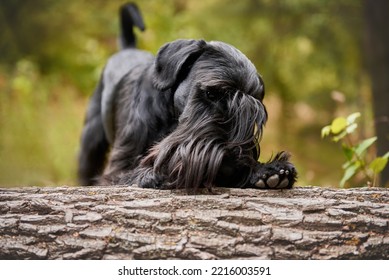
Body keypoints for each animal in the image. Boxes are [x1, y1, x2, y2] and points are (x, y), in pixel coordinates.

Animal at [79, 2, 298, 190]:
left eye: (252, 113)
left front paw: (268, 171)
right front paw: (150, 174)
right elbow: (126, 174)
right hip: (91, 139)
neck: (170, 119)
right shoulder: (118, 166)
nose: (231, 167)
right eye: (211, 93)